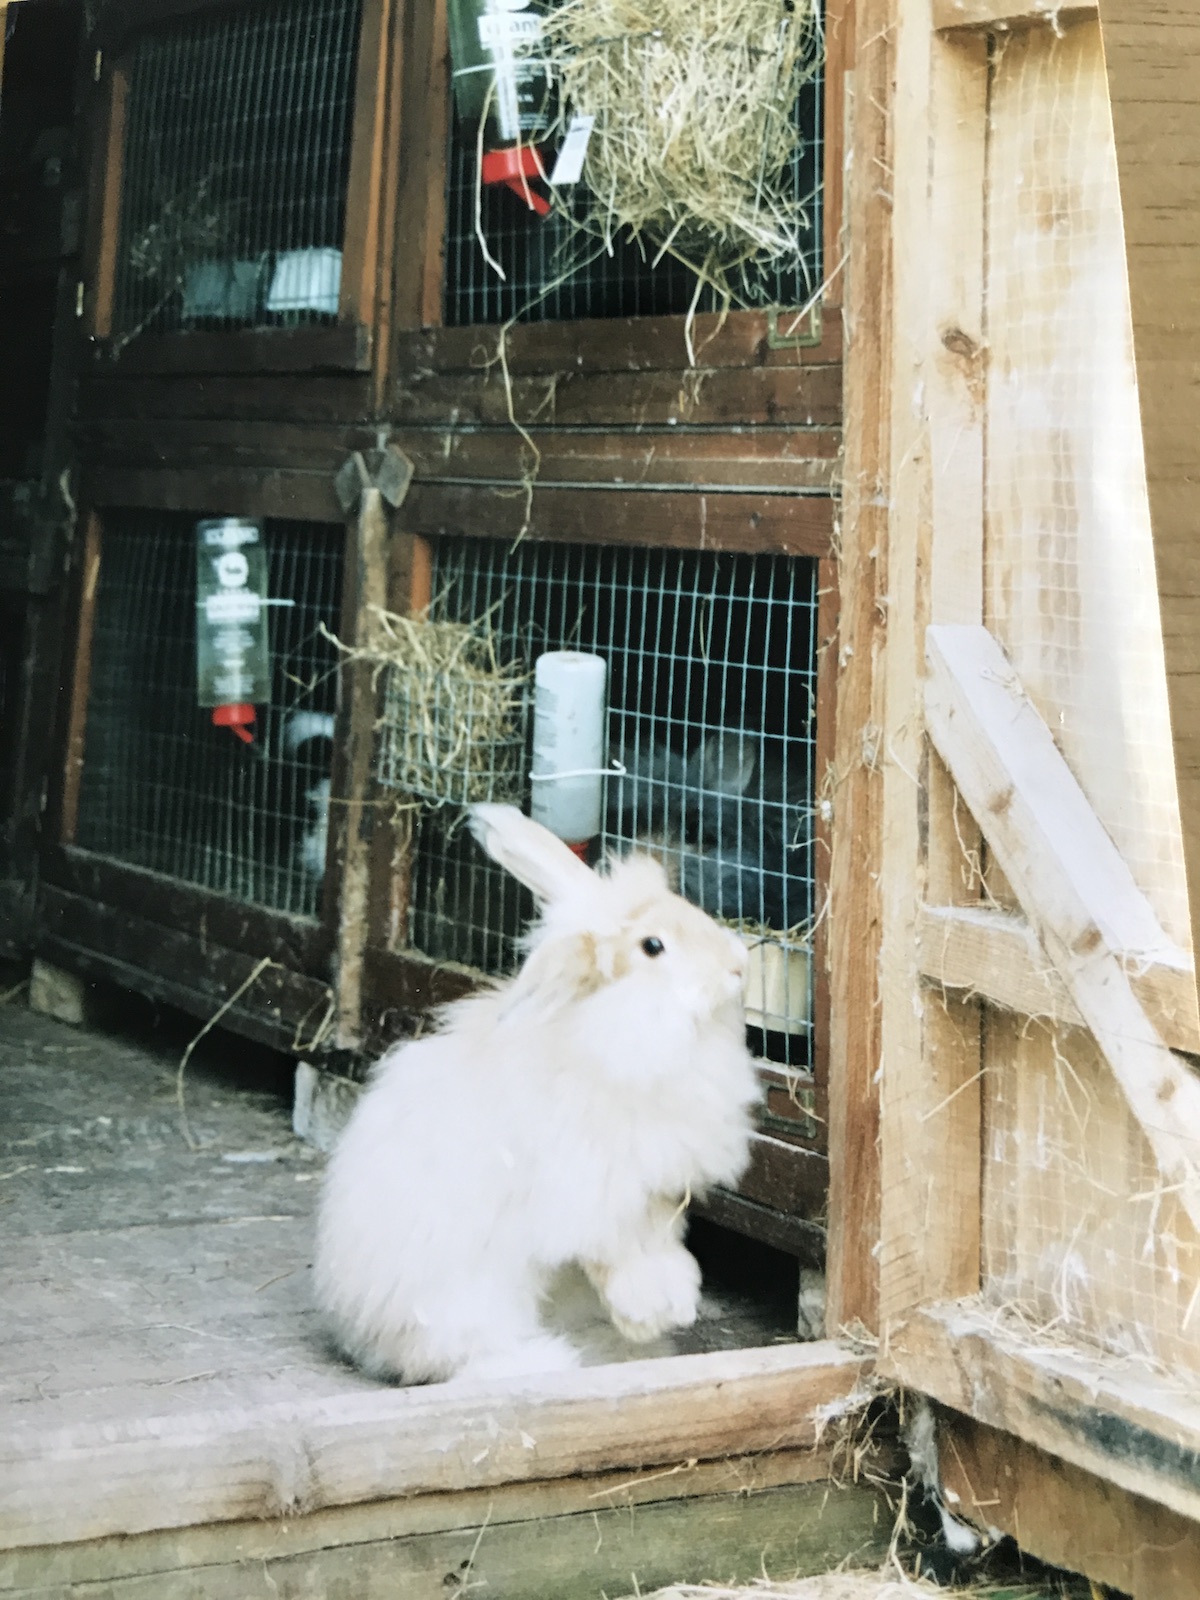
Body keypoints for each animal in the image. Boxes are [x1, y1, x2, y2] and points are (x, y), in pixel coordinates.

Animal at [313, 803, 760, 1385]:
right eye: (653, 946)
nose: (738, 966)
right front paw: (653, 1314)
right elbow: (620, 1257)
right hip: (470, 1304)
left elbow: (661, 1247)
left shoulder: (654, 1191)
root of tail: (361, 1332)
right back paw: (545, 1361)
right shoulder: (592, 1196)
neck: (610, 1028)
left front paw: (674, 1306)